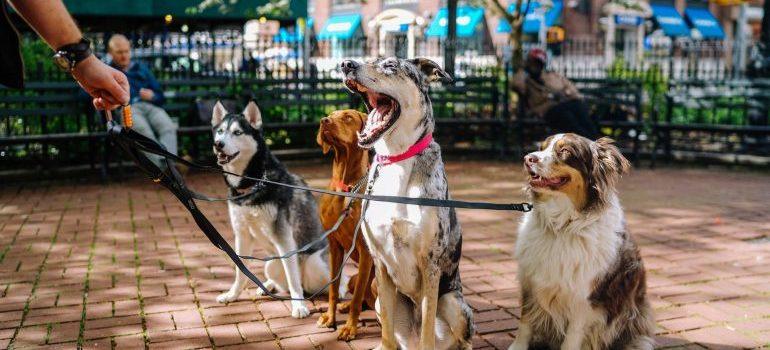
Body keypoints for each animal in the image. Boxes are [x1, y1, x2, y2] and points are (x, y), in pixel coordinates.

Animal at [316, 108, 376, 340]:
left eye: (348, 117)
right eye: (330, 115)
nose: (324, 121)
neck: (346, 187)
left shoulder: (366, 250)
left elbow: (358, 298)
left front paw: (350, 328)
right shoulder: (334, 246)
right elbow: (333, 289)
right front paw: (330, 318)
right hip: (353, 278)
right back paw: (344, 306)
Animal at [340, 58, 472, 350]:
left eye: (390, 65)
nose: (346, 64)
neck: (396, 158)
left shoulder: (430, 264)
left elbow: (427, 329)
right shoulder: (379, 262)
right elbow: (388, 333)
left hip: (456, 305)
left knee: (459, 339)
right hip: (379, 300)